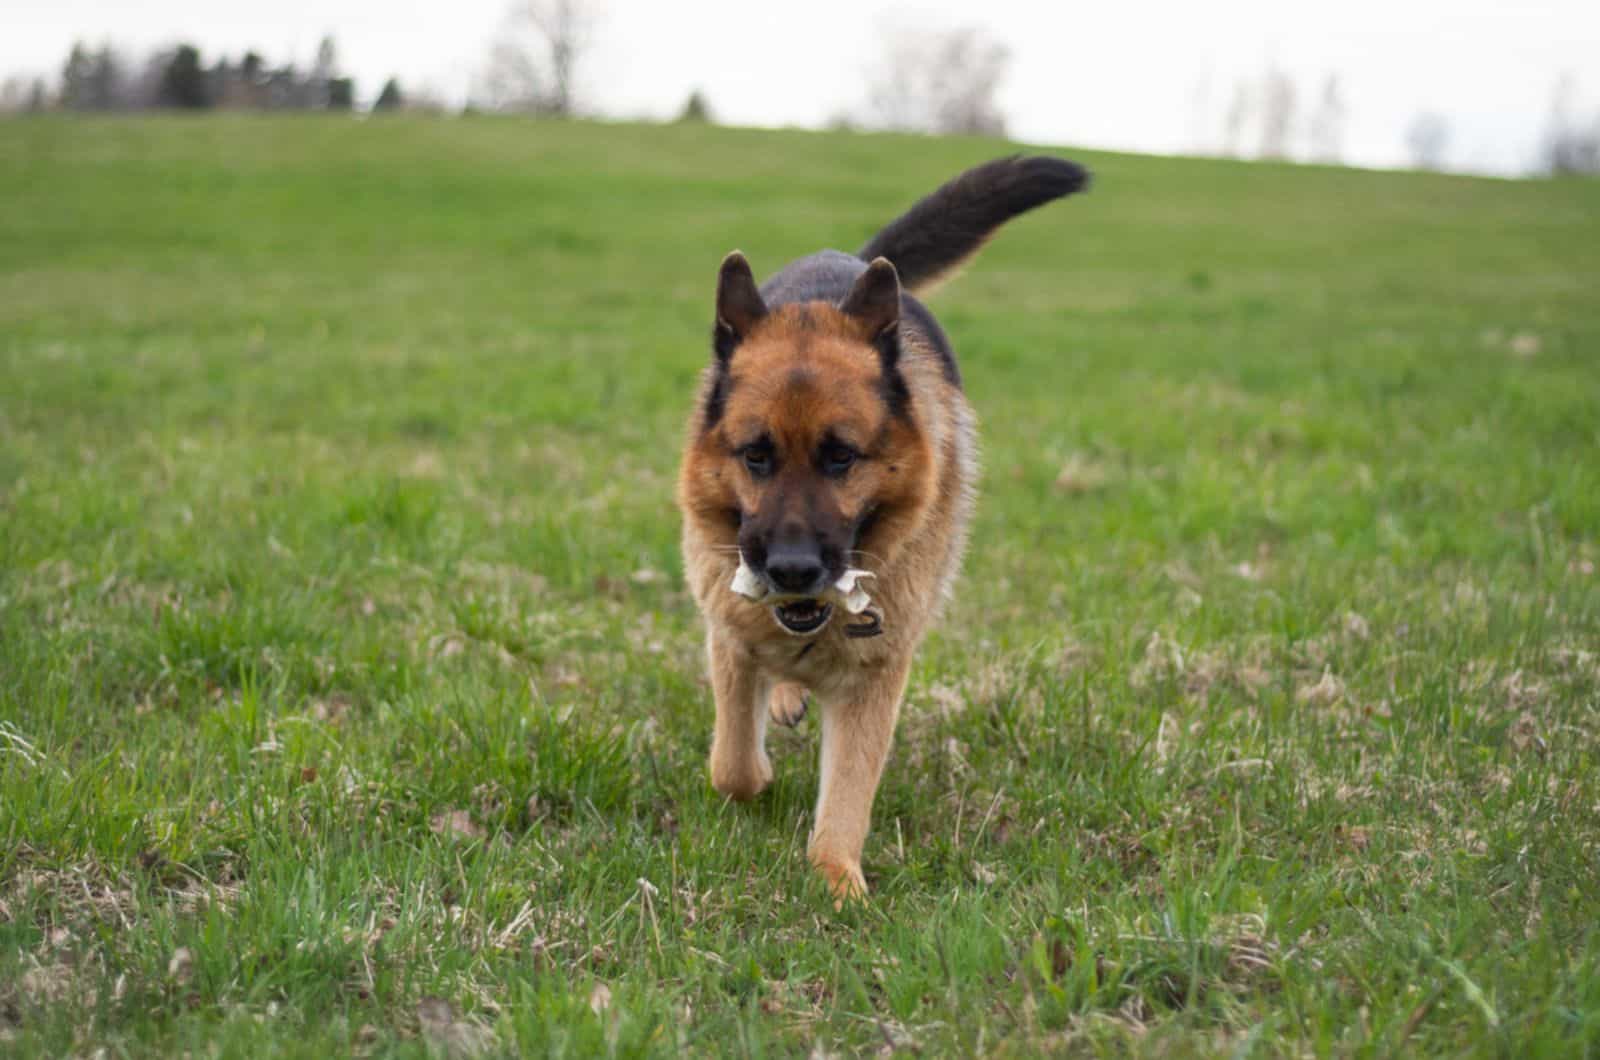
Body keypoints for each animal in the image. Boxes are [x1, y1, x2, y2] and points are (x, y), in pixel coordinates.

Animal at [675, 156, 1088, 903]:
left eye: (842, 457)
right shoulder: (729, 634)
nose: (792, 570)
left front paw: (837, 880)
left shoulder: (876, 678)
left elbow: (848, 790)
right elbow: (733, 767)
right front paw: (762, 763)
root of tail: (850, 262)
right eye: (756, 455)